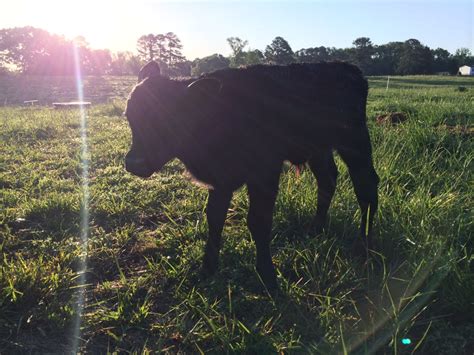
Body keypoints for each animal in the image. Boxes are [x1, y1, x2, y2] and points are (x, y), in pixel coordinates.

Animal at [124, 59, 380, 290]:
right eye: (129, 116)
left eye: (172, 119)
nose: (134, 163)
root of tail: (350, 69)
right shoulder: (221, 179)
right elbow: (214, 218)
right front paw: (207, 269)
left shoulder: (265, 173)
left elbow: (258, 221)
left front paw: (268, 278)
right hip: (319, 150)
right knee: (327, 180)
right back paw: (315, 229)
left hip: (355, 143)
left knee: (366, 186)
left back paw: (364, 245)